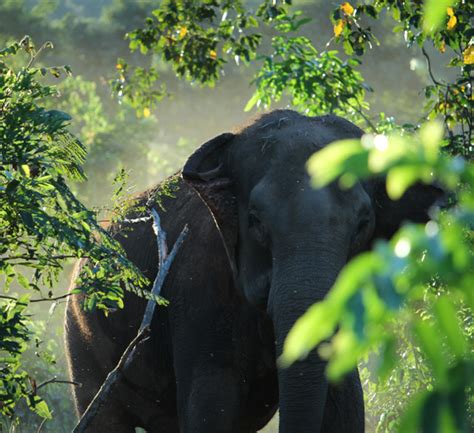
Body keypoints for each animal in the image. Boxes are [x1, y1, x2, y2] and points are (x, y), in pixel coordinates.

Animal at [65, 109, 442, 432]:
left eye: (363, 223)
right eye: (256, 220)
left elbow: (346, 404)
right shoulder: (200, 289)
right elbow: (210, 411)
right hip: (81, 337)